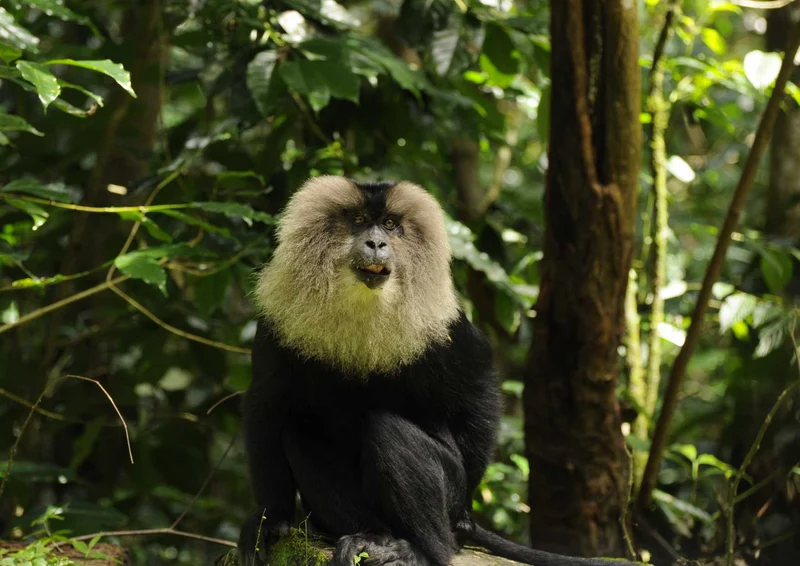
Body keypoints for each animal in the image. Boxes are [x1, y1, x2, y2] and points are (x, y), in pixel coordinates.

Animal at [238, 176, 640, 566]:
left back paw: (424, 548)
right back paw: (372, 536)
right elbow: (266, 404)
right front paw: (271, 520)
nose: (376, 242)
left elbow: (478, 392)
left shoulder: (447, 326)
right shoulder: (277, 322)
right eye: (357, 220)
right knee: (300, 431)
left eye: (389, 224)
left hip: (450, 487)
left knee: (390, 432)